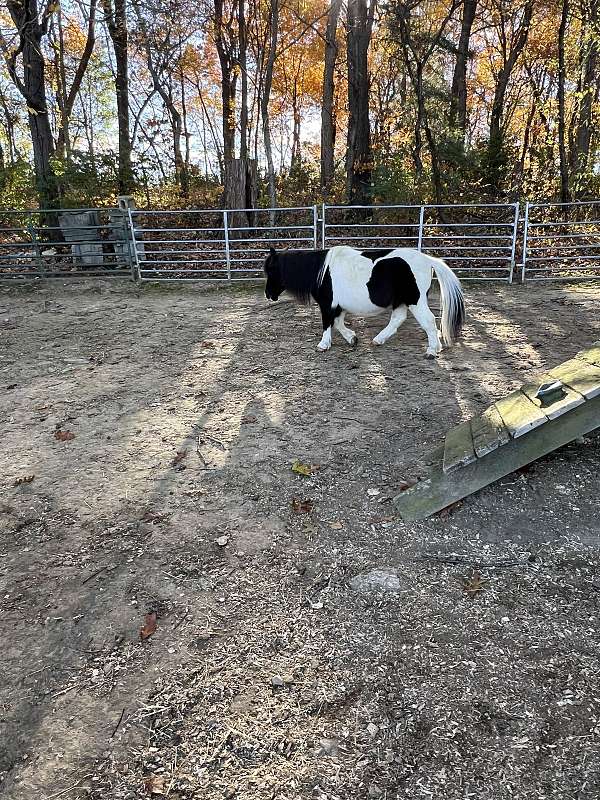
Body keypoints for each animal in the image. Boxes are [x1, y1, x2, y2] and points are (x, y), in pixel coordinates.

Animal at [263, 245, 465, 357]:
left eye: (270, 270)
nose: (267, 294)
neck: (321, 271)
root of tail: (428, 259)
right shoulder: (338, 306)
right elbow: (338, 323)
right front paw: (352, 338)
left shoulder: (328, 304)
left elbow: (327, 323)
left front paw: (323, 345)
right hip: (401, 301)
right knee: (397, 319)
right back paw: (378, 340)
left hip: (415, 300)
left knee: (429, 321)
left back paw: (432, 350)